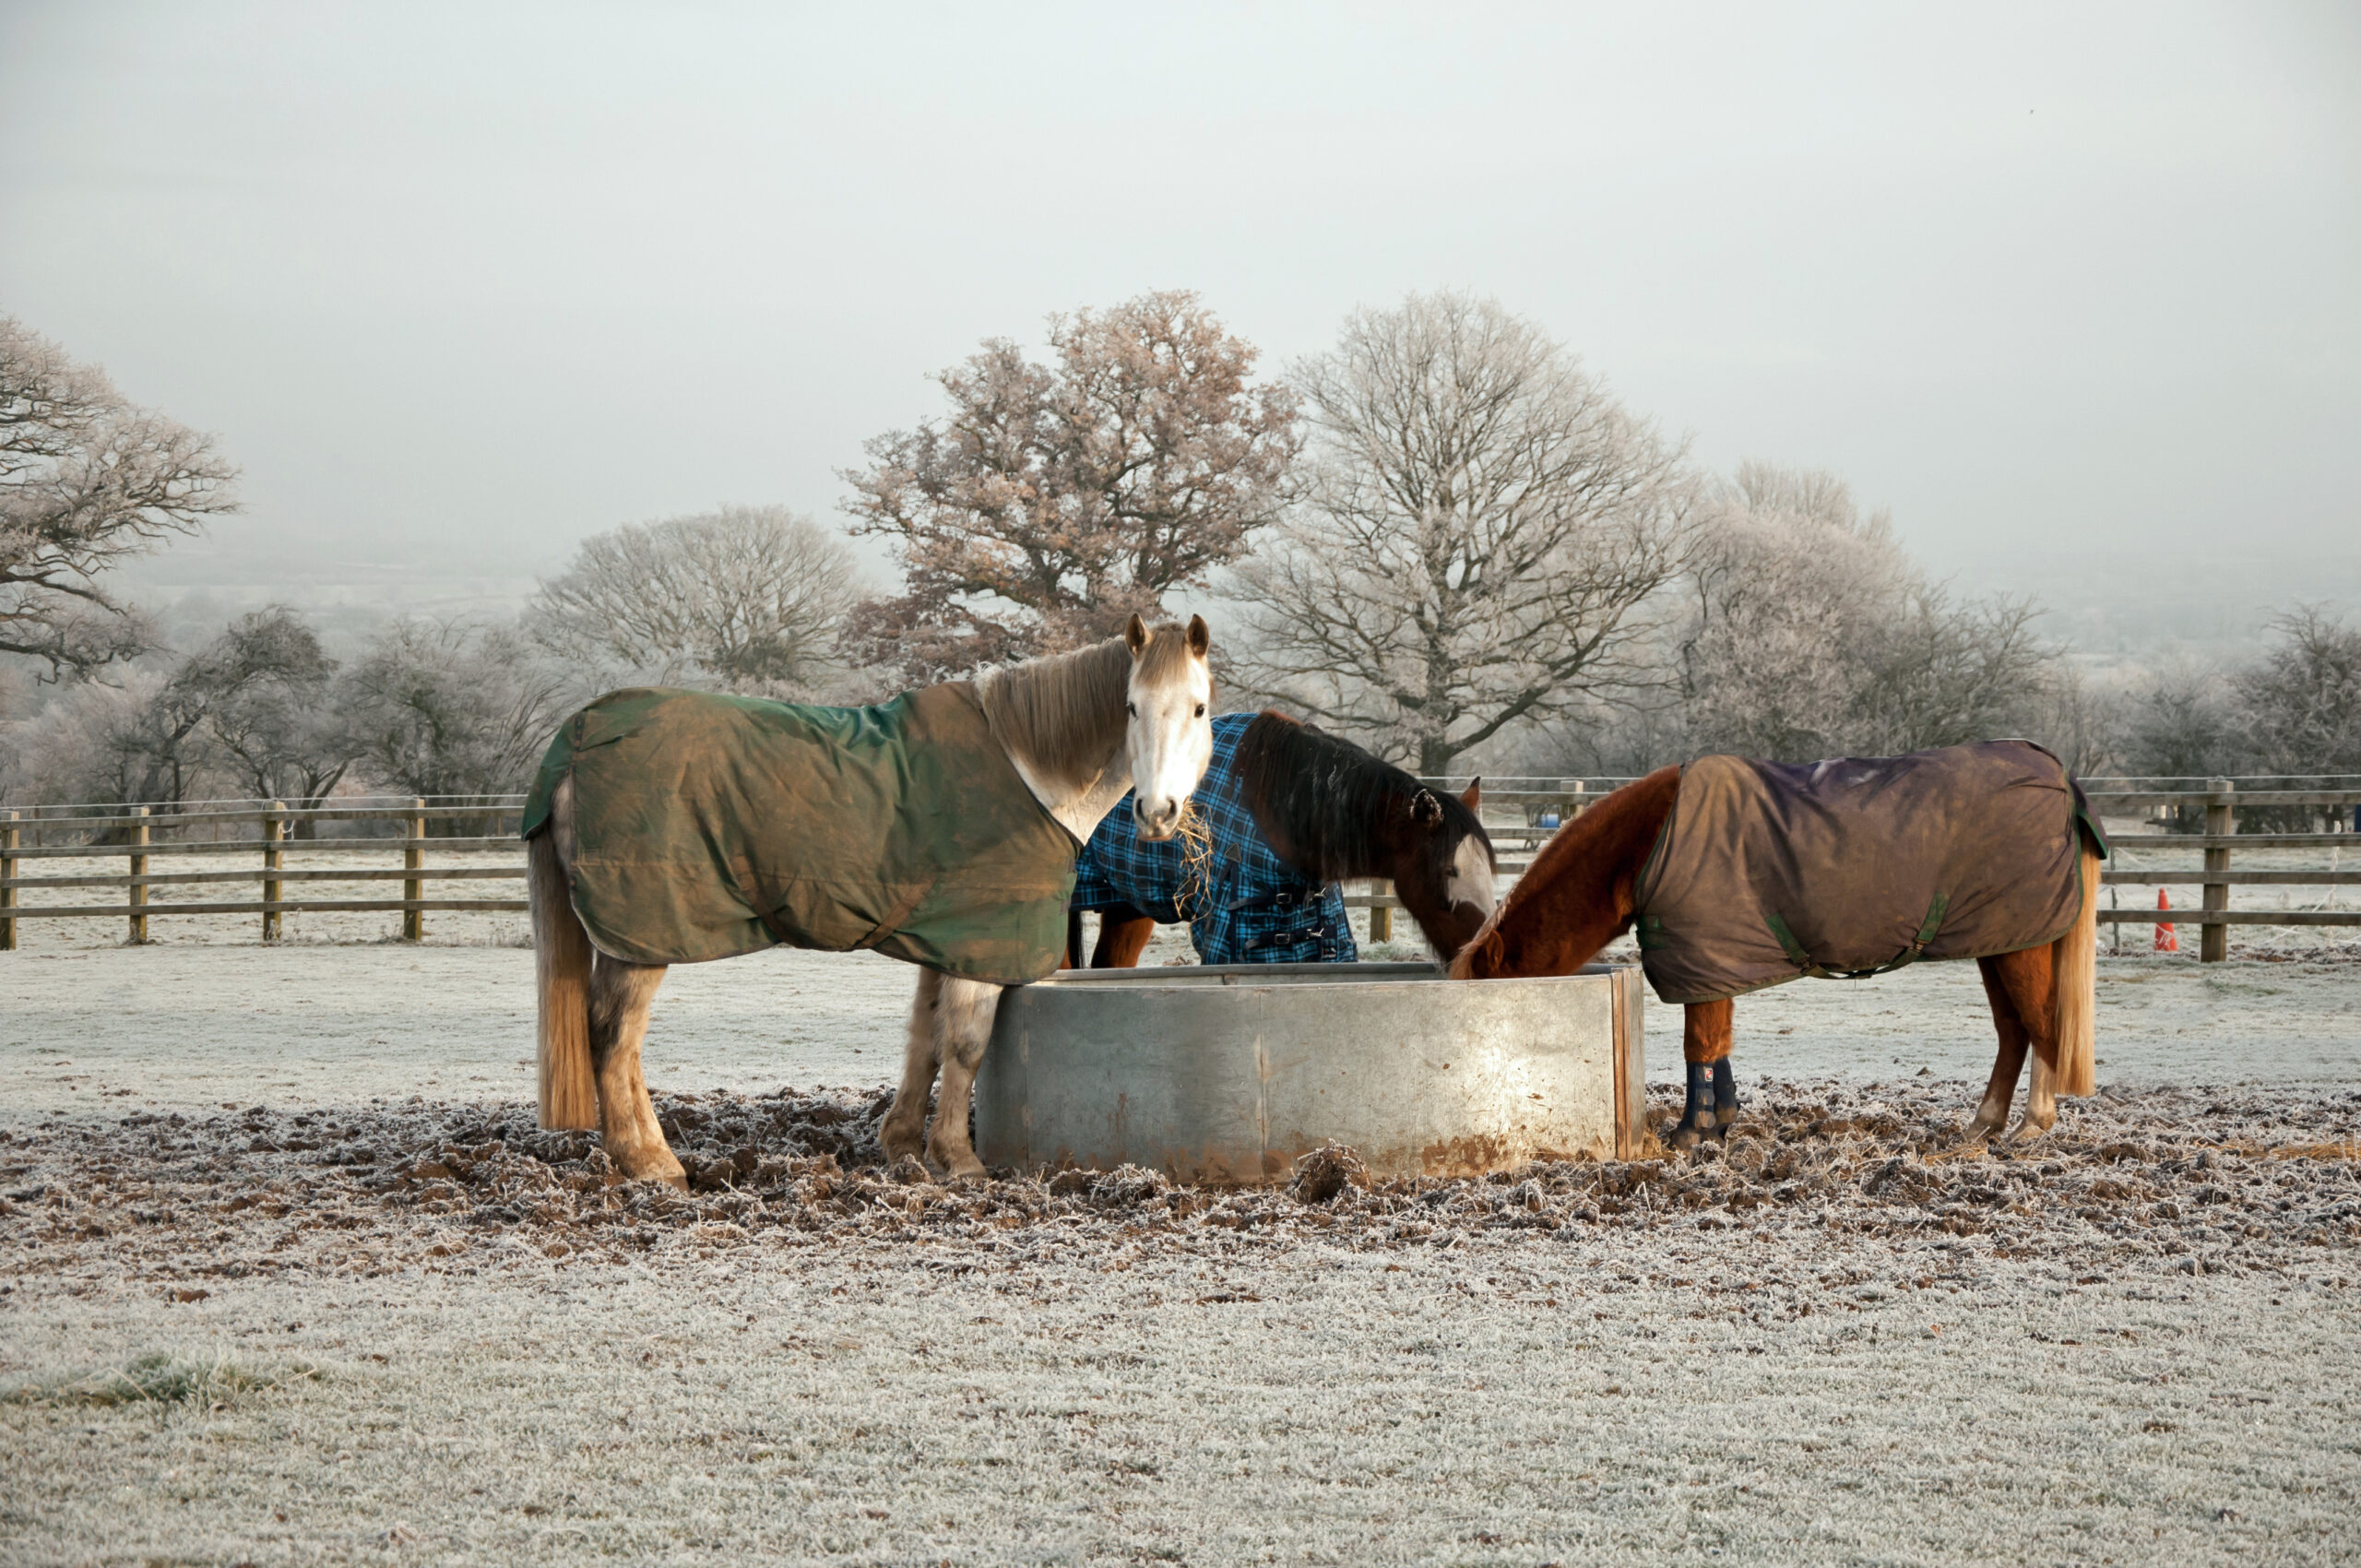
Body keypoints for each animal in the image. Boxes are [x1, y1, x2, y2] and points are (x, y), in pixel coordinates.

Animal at [526, 614, 1215, 1187]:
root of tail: (579, 736)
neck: (1029, 770)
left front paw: (905, 1147)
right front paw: (960, 1161)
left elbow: (924, 1040)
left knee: (622, 1045)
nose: (1156, 813)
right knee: (613, 1038)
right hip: (641, 934)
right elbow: (965, 1046)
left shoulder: (947, 942)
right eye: (1130, 707)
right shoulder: (981, 947)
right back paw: (649, 1163)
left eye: (1200, 708)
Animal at [1449, 743, 2104, 1148]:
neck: (1653, 842)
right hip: (2002, 941)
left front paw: (1691, 1134)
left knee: (2043, 1023)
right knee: (2014, 1031)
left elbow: (1698, 1045)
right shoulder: (1713, 961)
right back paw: (1983, 1125)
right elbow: (1718, 1045)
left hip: (2019, 946)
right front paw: (1721, 1122)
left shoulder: (1700, 958)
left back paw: (2032, 1125)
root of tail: (2059, 778)